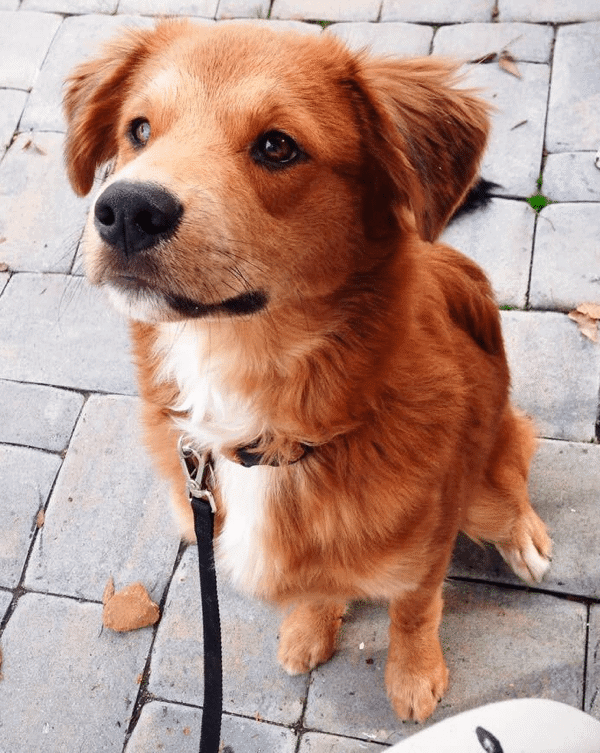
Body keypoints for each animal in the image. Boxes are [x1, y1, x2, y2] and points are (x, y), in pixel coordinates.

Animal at [63, 20, 552, 720]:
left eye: (277, 146)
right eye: (139, 129)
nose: (125, 210)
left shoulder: (428, 545)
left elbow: (414, 610)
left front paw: (413, 675)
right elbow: (319, 586)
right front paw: (310, 626)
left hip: (484, 482)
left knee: (510, 485)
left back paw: (526, 541)